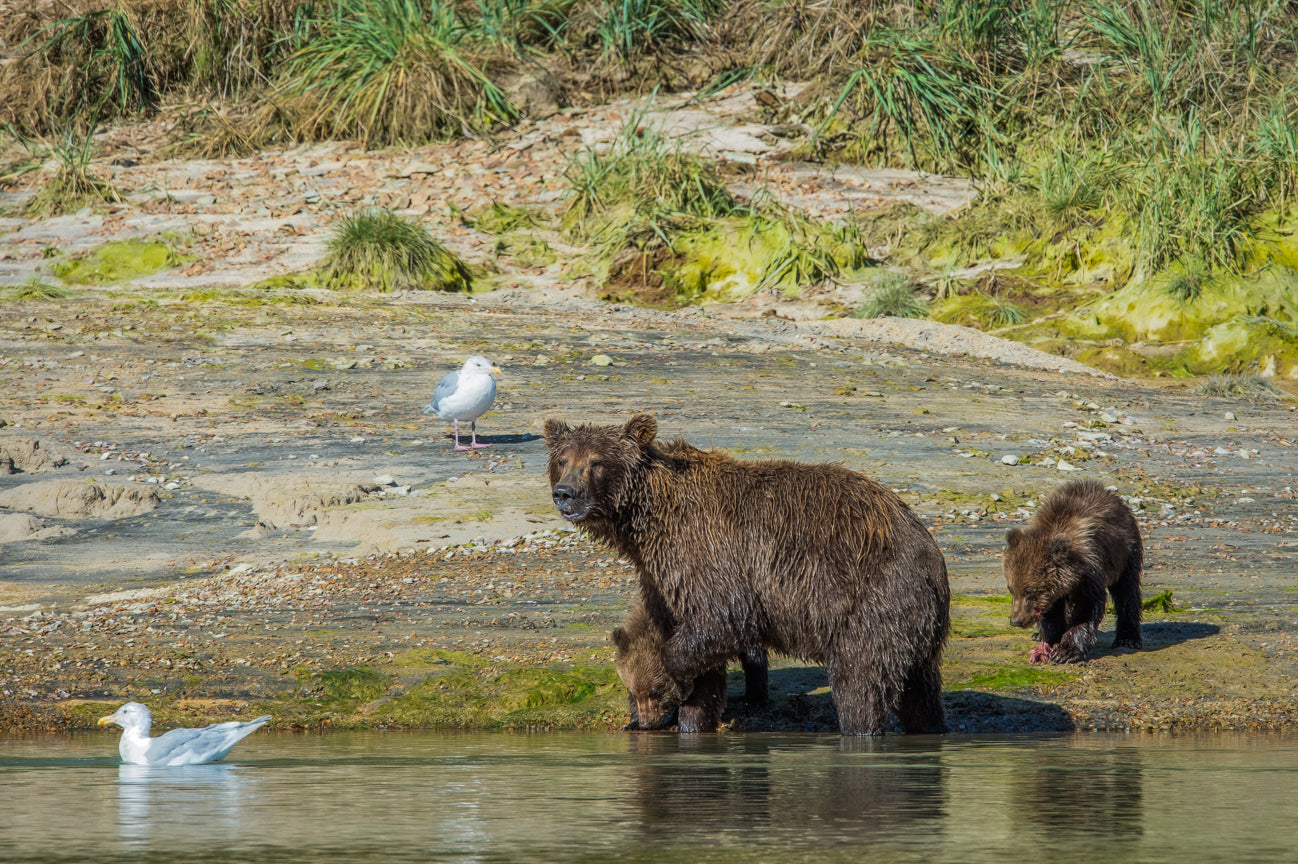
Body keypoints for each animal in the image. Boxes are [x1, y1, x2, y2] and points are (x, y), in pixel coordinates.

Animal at [612, 601, 763, 731]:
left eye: (654, 691)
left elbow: (704, 692)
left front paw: (686, 726)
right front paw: (632, 723)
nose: (645, 723)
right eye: (634, 692)